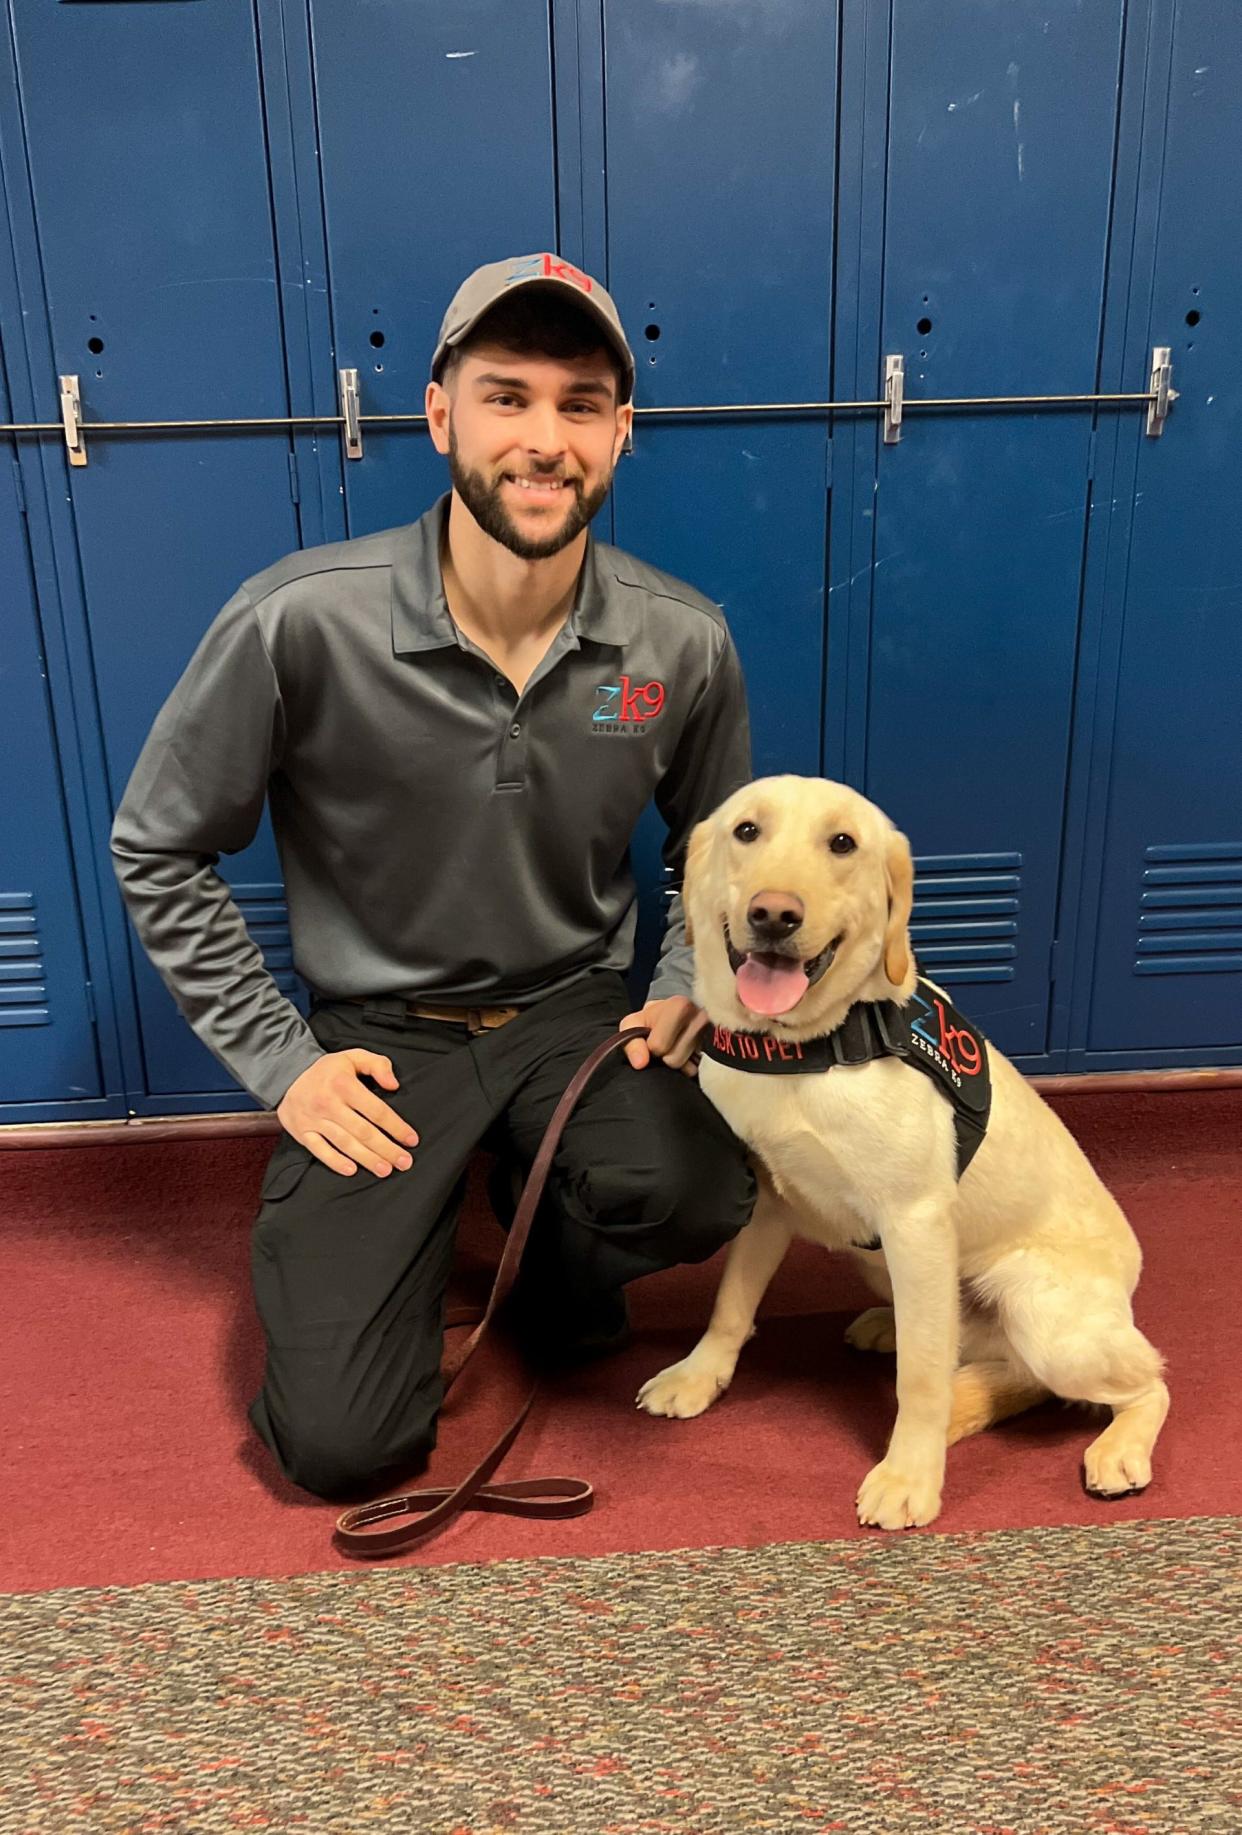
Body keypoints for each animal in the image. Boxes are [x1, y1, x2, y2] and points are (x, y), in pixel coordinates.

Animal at [634, 778, 1166, 1534]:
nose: (774, 914)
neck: (808, 1052)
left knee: (1143, 1379)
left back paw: (1117, 1446)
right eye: (746, 831)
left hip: (1040, 1309)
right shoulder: (771, 1198)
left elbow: (919, 1377)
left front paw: (910, 1474)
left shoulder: (915, 1222)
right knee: (998, 1364)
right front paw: (699, 1373)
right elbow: (731, 1301)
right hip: (881, 1263)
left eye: (842, 843)